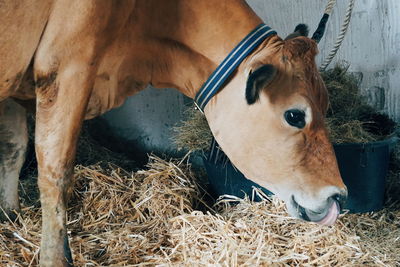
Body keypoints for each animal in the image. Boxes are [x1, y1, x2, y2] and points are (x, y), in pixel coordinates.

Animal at [0, 1, 346, 266]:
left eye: (327, 103)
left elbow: (13, 150)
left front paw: (9, 217)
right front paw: (54, 258)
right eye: (295, 115)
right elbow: (55, 171)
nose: (337, 194)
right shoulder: (67, 68)